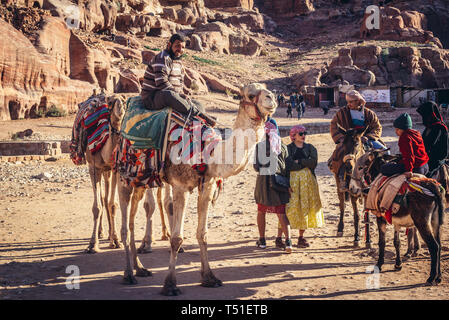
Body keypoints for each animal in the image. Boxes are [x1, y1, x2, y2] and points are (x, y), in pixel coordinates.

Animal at [116, 83, 276, 296]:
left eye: (266, 89)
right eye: (250, 94)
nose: (272, 98)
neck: (209, 153)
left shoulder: (207, 186)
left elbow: (203, 233)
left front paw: (209, 277)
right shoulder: (180, 187)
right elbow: (177, 238)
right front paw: (170, 285)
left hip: (142, 179)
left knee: (134, 218)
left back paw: (140, 268)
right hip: (123, 174)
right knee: (125, 223)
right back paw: (128, 274)